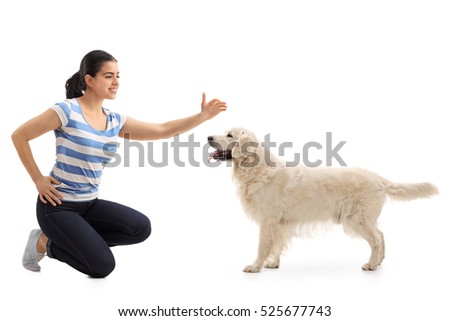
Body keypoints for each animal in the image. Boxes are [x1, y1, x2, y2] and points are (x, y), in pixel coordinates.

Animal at [208, 126, 440, 272]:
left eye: (229, 135)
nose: (209, 137)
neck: (257, 170)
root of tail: (379, 179)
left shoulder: (268, 221)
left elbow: (263, 246)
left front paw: (255, 266)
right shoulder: (279, 223)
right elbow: (277, 245)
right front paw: (273, 263)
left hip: (356, 219)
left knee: (375, 239)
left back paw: (371, 265)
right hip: (364, 218)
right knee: (381, 235)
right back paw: (380, 261)